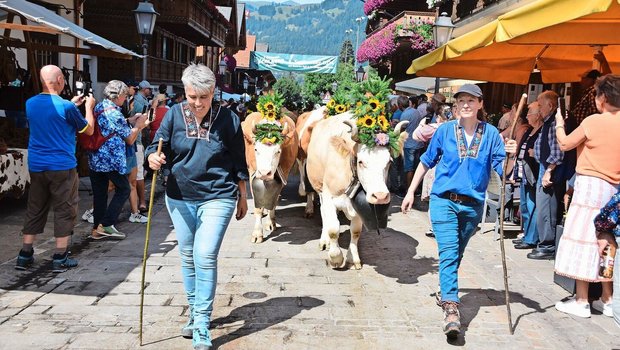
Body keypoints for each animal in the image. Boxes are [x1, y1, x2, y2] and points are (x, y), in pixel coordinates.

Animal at [241, 93, 300, 243]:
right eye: (256, 149)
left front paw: (270, 222)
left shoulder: (283, 175)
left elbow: (274, 200)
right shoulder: (252, 173)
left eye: (278, 151)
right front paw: (257, 232)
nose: (264, 173)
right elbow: (257, 206)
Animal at [306, 78, 406, 270]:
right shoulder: (329, 195)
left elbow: (356, 231)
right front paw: (336, 257)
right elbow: (333, 229)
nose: (380, 196)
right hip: (319, 188)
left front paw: (353, 258)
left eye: (389, 162)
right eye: (361, 161)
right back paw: (324, 241)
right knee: (323, 214)